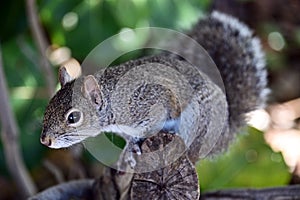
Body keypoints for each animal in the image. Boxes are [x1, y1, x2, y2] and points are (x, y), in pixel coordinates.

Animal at [40, 11, 270, 166]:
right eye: (47, 108)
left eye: (73, 117)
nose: (45, 140)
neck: (114, 103)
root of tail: (225, 133)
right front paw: (129, 149)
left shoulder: (151, 102)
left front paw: (133, 145)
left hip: (197, 121)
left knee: (192, 154)